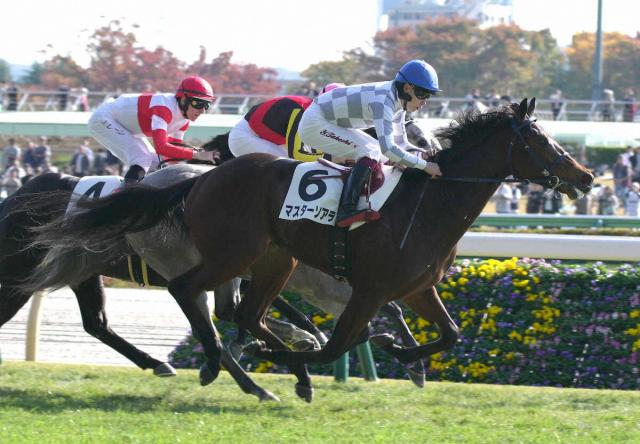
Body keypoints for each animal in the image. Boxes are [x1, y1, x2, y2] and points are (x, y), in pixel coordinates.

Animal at [23, 98, 594, 400]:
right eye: (541, 141)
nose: (586, 177)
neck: (424, 205)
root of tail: (199, 180)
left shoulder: (415, 289)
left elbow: (449, 335)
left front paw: (402, 354)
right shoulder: (368, 289)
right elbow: (337, 344)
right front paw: (288, 358)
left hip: (275, 259)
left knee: (245, 313)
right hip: (232, 255)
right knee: (191, 294)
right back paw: (231, 367)